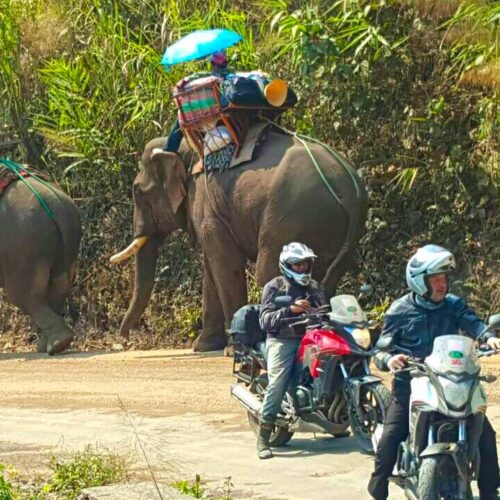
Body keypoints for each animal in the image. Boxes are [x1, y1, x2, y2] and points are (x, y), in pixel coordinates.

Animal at [0, 174, 81, 354]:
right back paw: (49, 345)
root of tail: (55, 201)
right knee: (57, 291)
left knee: (27, 298)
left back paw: (57, 343)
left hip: (25, 247)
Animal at [113, 131, 368, 354]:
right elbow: (211, 269)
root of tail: (352, 191)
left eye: (138, 192)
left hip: (294, 219)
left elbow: (226, 265)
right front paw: (203, 347)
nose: (124, 338)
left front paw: (232, 349)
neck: (183, 147)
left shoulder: (206, 204)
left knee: (267, 273)